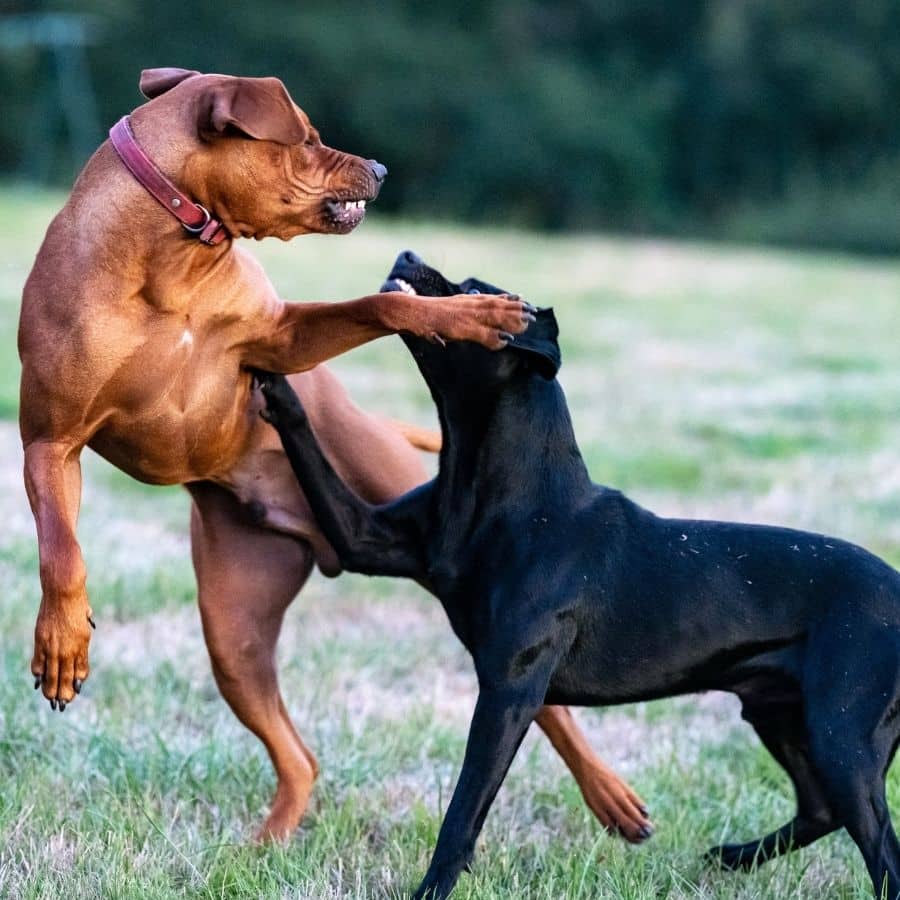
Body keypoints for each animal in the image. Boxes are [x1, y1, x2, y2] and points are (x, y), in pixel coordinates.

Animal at [14, 68, 648, 844]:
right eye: (308, 138)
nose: (380, 168)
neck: (173, 256)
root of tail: (317, 539)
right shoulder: (49, 444)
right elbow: (61, 551)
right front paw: (62, 641)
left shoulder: (281, 338)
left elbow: (382, 306)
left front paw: (469, 314)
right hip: (233, 634)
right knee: (300, 755)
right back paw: (270, 842)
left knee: (550, 707)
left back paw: (610, 796)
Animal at [255, 250, 900, 896]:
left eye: (474, 289)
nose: (408, 254)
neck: (507, 494)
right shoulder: (367, 540)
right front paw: (271, 377)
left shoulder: (509, 689)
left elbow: (464, 811)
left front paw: (431, 889)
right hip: (779, 712)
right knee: (822, 809)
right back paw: (733, 857)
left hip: (843, 736)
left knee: (880, 850)